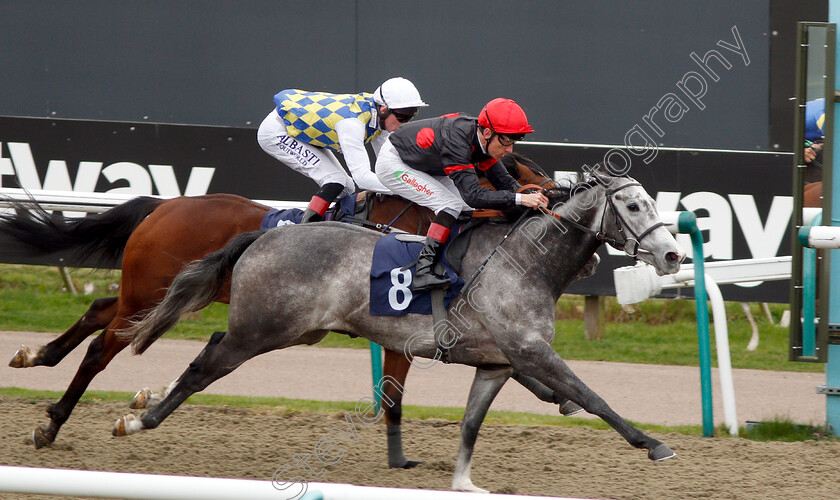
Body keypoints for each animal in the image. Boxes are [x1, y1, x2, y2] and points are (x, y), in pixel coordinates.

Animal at [1, 151, 576, 464]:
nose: (559, 198)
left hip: (148, 295)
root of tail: (163, 205)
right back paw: (51, 423)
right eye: (531, 177)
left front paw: (561, 397)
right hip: (151, 292)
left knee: (100, 312)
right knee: (103, 347)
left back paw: (36, 359)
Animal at [115, 170, 684, 494]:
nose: (673, 255)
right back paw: (140, 420)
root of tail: (263, 236)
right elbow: (592, 396)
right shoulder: (530, 351)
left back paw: (146, 402)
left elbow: (471, 423)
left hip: (291, 330)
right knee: (204, 367)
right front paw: (654, 444)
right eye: (634, 206)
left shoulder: (497, 363)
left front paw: (463, 482)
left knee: (208, 352)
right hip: (260, 329)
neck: (525, 262)